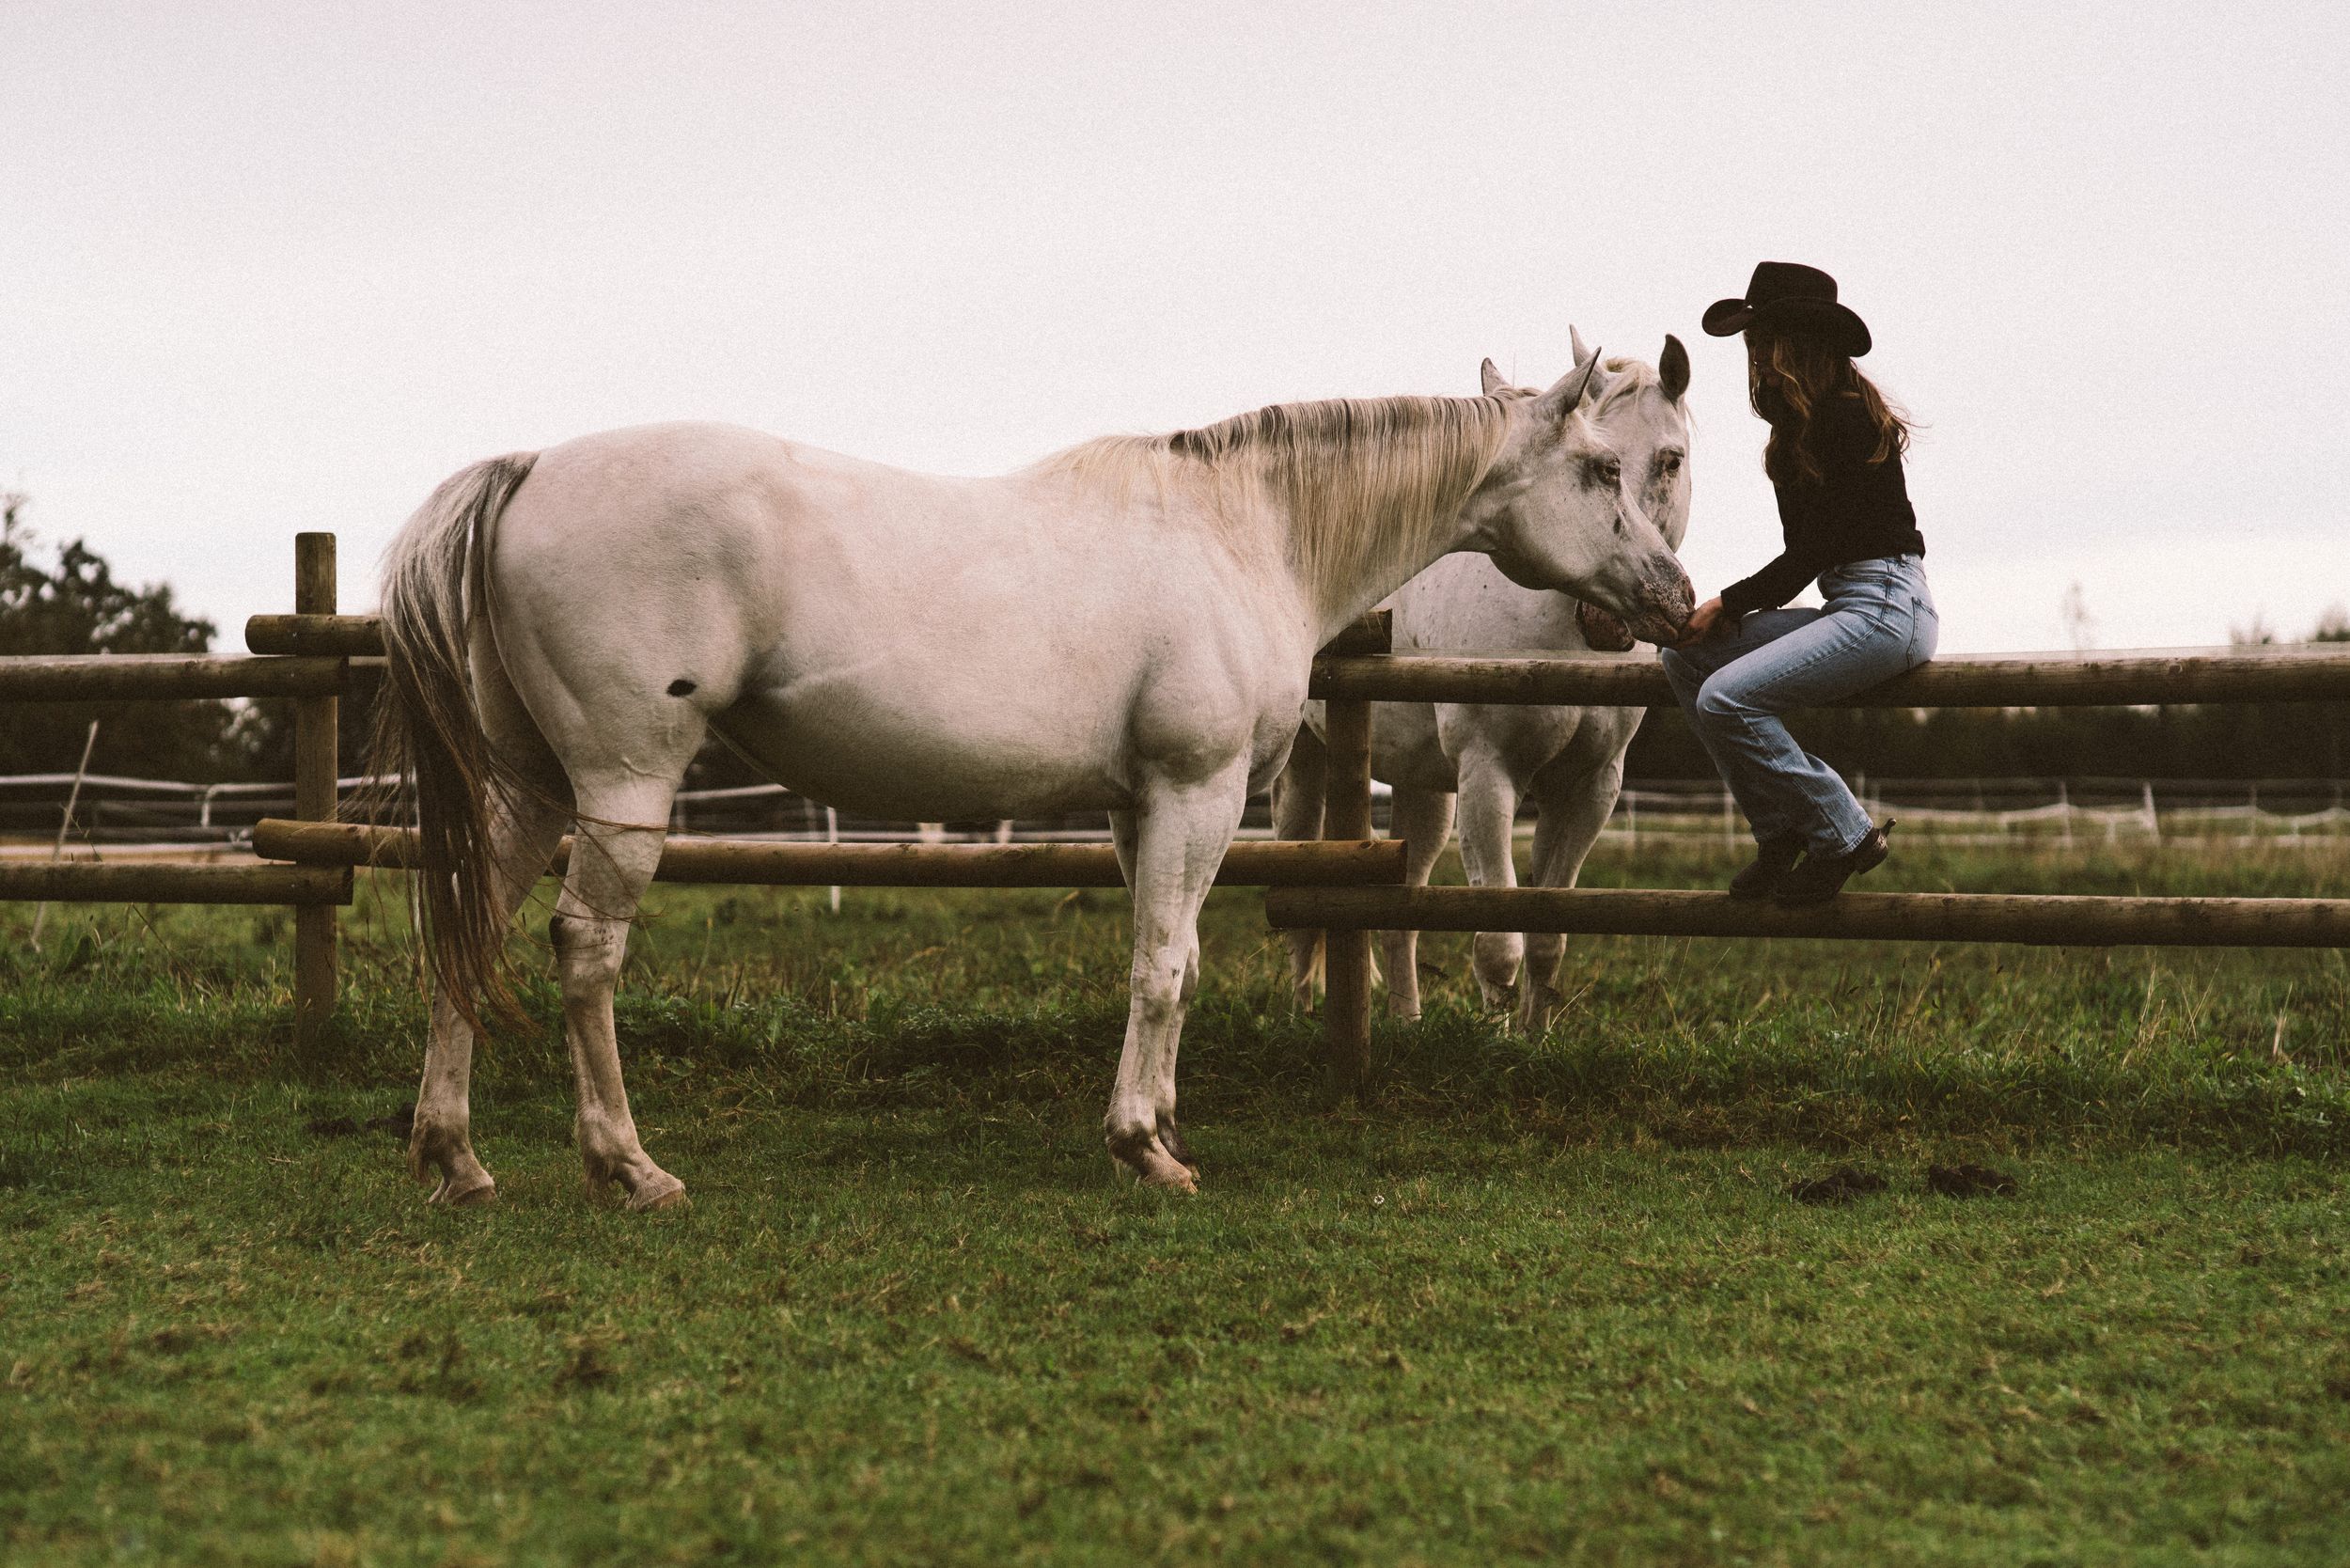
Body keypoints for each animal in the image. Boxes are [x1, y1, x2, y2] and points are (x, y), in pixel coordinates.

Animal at [1274, 334, 1692, 1033]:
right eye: (1604, 461)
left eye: (1671, 458)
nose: (1606, 623)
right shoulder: (1489, 772)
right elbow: (1499, 942)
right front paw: (1493, 1041)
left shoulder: (1589, 787)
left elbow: (1547, 936)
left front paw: (1532, 1038)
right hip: (1308, 765)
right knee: (1302, 879)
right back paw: (1302, 1008)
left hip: (1423, 788)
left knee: (1404, 907)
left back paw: (1406, 1018)